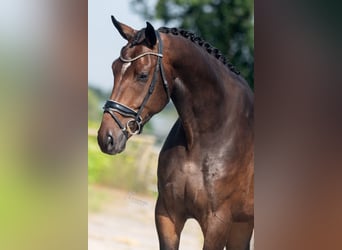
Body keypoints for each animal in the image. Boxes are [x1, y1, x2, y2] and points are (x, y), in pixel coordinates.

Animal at [97, 16, 254, 249]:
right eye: (114, 68)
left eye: (142, 75)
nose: (106, 137)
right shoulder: (167, 214)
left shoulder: (218, 222)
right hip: (242, 224)